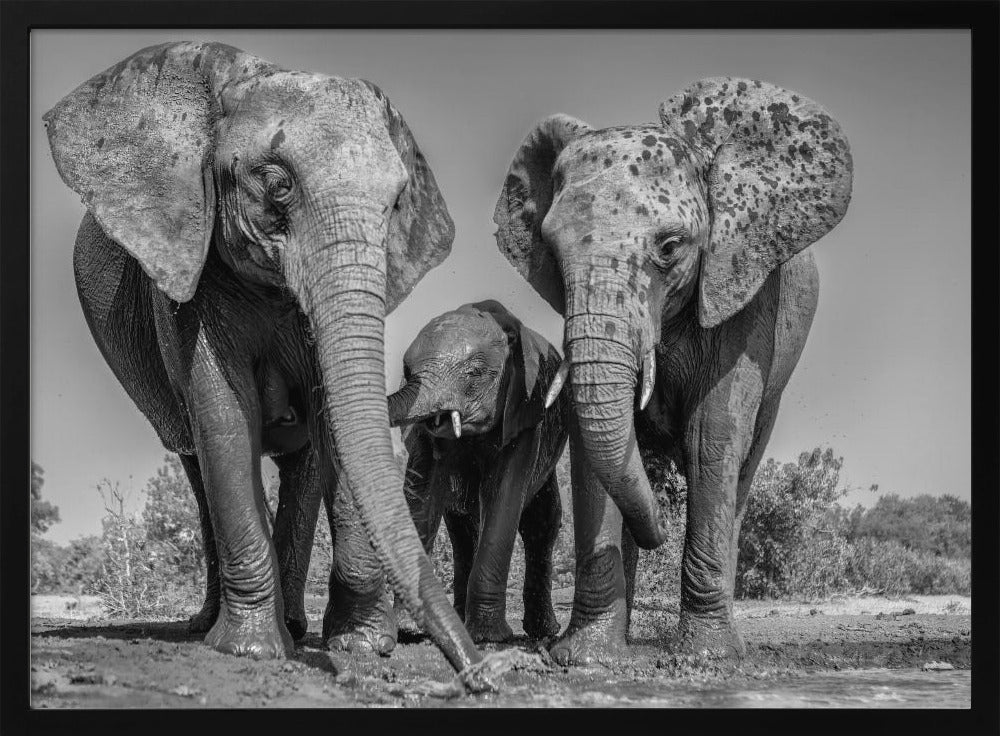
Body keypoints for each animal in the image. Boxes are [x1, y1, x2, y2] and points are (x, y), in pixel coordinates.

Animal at [43, 41, 488, 680]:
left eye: (396, 204)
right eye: (277, 184)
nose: (481, 673)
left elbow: (333, 422)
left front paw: (360, 647)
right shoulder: (188, 274)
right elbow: (225, 418)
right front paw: (247, 650)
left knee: (303, 465)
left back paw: (297, 626)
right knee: (197, 462)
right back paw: (210, 626)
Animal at [386, 300, 568, 643]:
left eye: (474, 373)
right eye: (406, 372)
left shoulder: (523, 411)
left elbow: (503, 499)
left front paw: (489, 637)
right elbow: (423, 498)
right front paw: (408, 629)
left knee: (542, 522)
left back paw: (544, 633)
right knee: (462, 530)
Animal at [493, 77, 852, 664]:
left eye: (670, 247)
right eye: (552, 250)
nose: (657, 531)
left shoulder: (745, 291)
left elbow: (713, 433)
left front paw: (709, 656)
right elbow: (592, 443)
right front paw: (586, 657)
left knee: (741, 469)